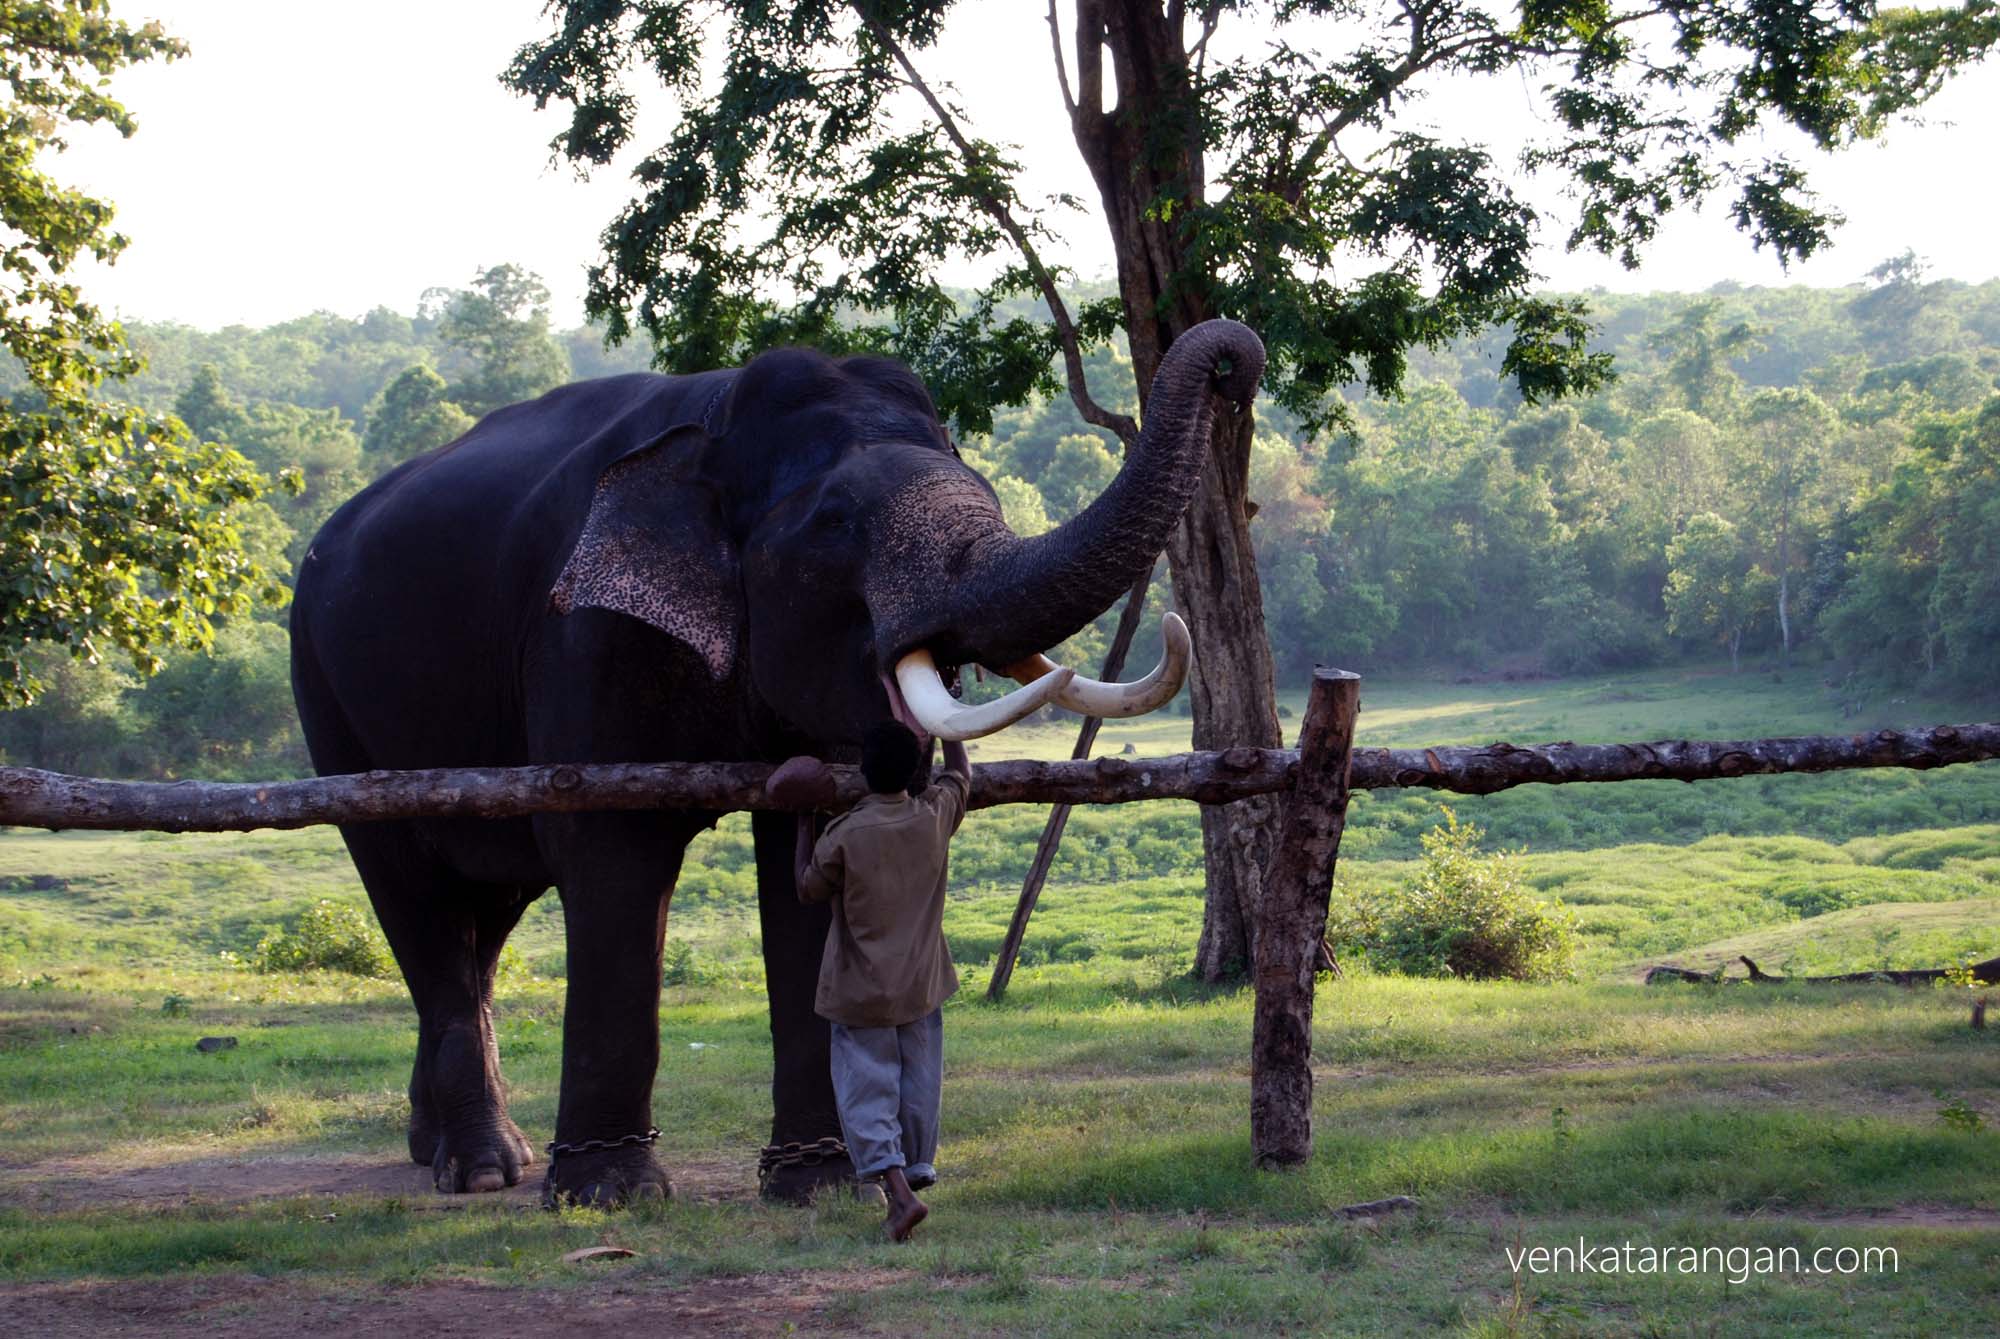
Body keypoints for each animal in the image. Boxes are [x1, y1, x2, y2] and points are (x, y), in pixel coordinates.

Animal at [288, 317, 1265, 1206]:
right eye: (835, 523)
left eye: (984, 487)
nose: (1234, 363)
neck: (713, 418)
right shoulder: (583, 633)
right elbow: (611, 854)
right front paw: (611, 1194)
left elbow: (815, 861)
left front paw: (821, 1183)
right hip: (328, 700)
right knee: (414, 892)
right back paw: (484, 1169)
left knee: (484, 916)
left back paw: (456, 1150)